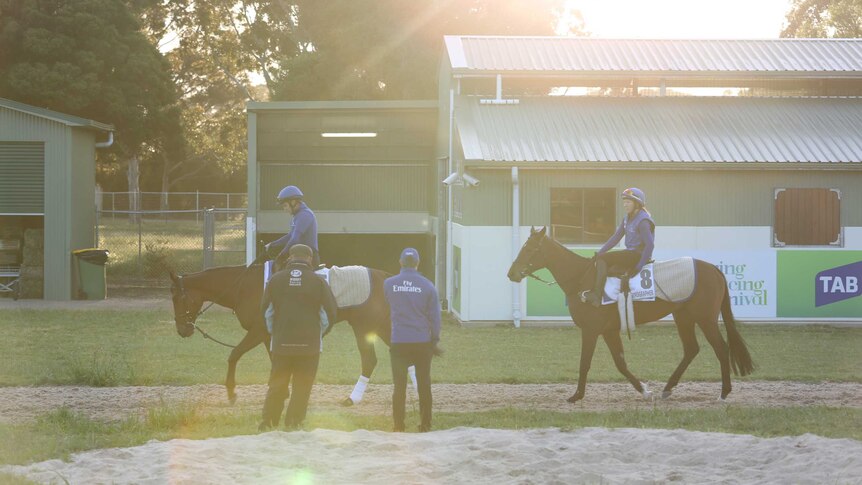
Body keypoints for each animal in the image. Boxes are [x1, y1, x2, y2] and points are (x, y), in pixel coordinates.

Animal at [170, 262, 394, 402]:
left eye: (177, 298)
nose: (182, 330)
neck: (244, 286)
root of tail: (383, 275)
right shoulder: (268, 336)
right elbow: (275, 361)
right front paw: (283, 391)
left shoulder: (257, 332)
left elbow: (234, 354)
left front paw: (231, 391)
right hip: (381, 326)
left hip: (364, 328)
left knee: (369, 361)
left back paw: (352, 398)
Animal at [510, 226, 752, 400]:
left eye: (529, 249)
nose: (511, 273)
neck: (582, 277)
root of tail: (713, 269)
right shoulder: (608, 331)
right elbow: (621, 363)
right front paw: (644, 390)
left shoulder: (591, 330)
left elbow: (585, 362)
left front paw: (577, 395)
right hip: (683, 317)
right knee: (691, 349)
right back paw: (668, 388)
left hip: (705, 319)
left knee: (721, 349)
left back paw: (724, 392)